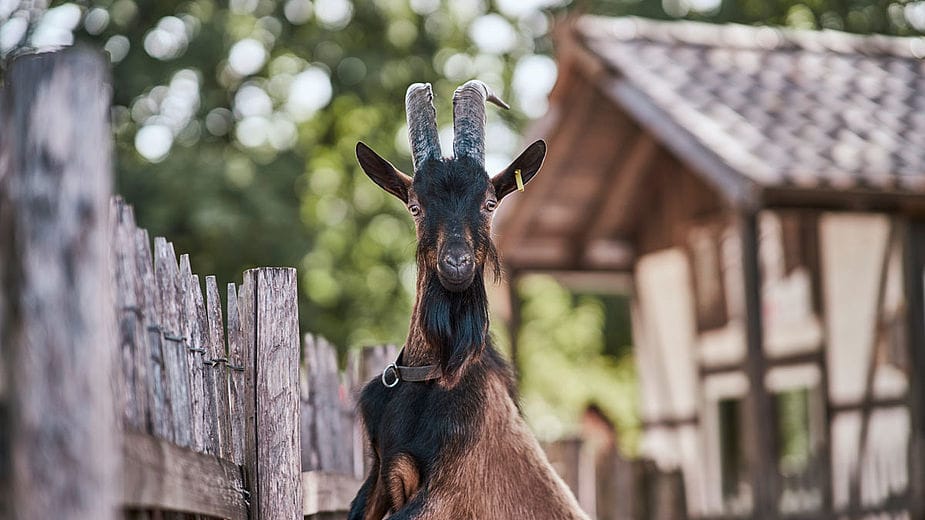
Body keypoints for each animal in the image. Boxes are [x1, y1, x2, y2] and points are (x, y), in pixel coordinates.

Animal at [350, 81, 588, 520]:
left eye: (490, 203)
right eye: (416, 206)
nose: (456, 264)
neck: (432, 372)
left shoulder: (448, 490)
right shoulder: (376, 477)